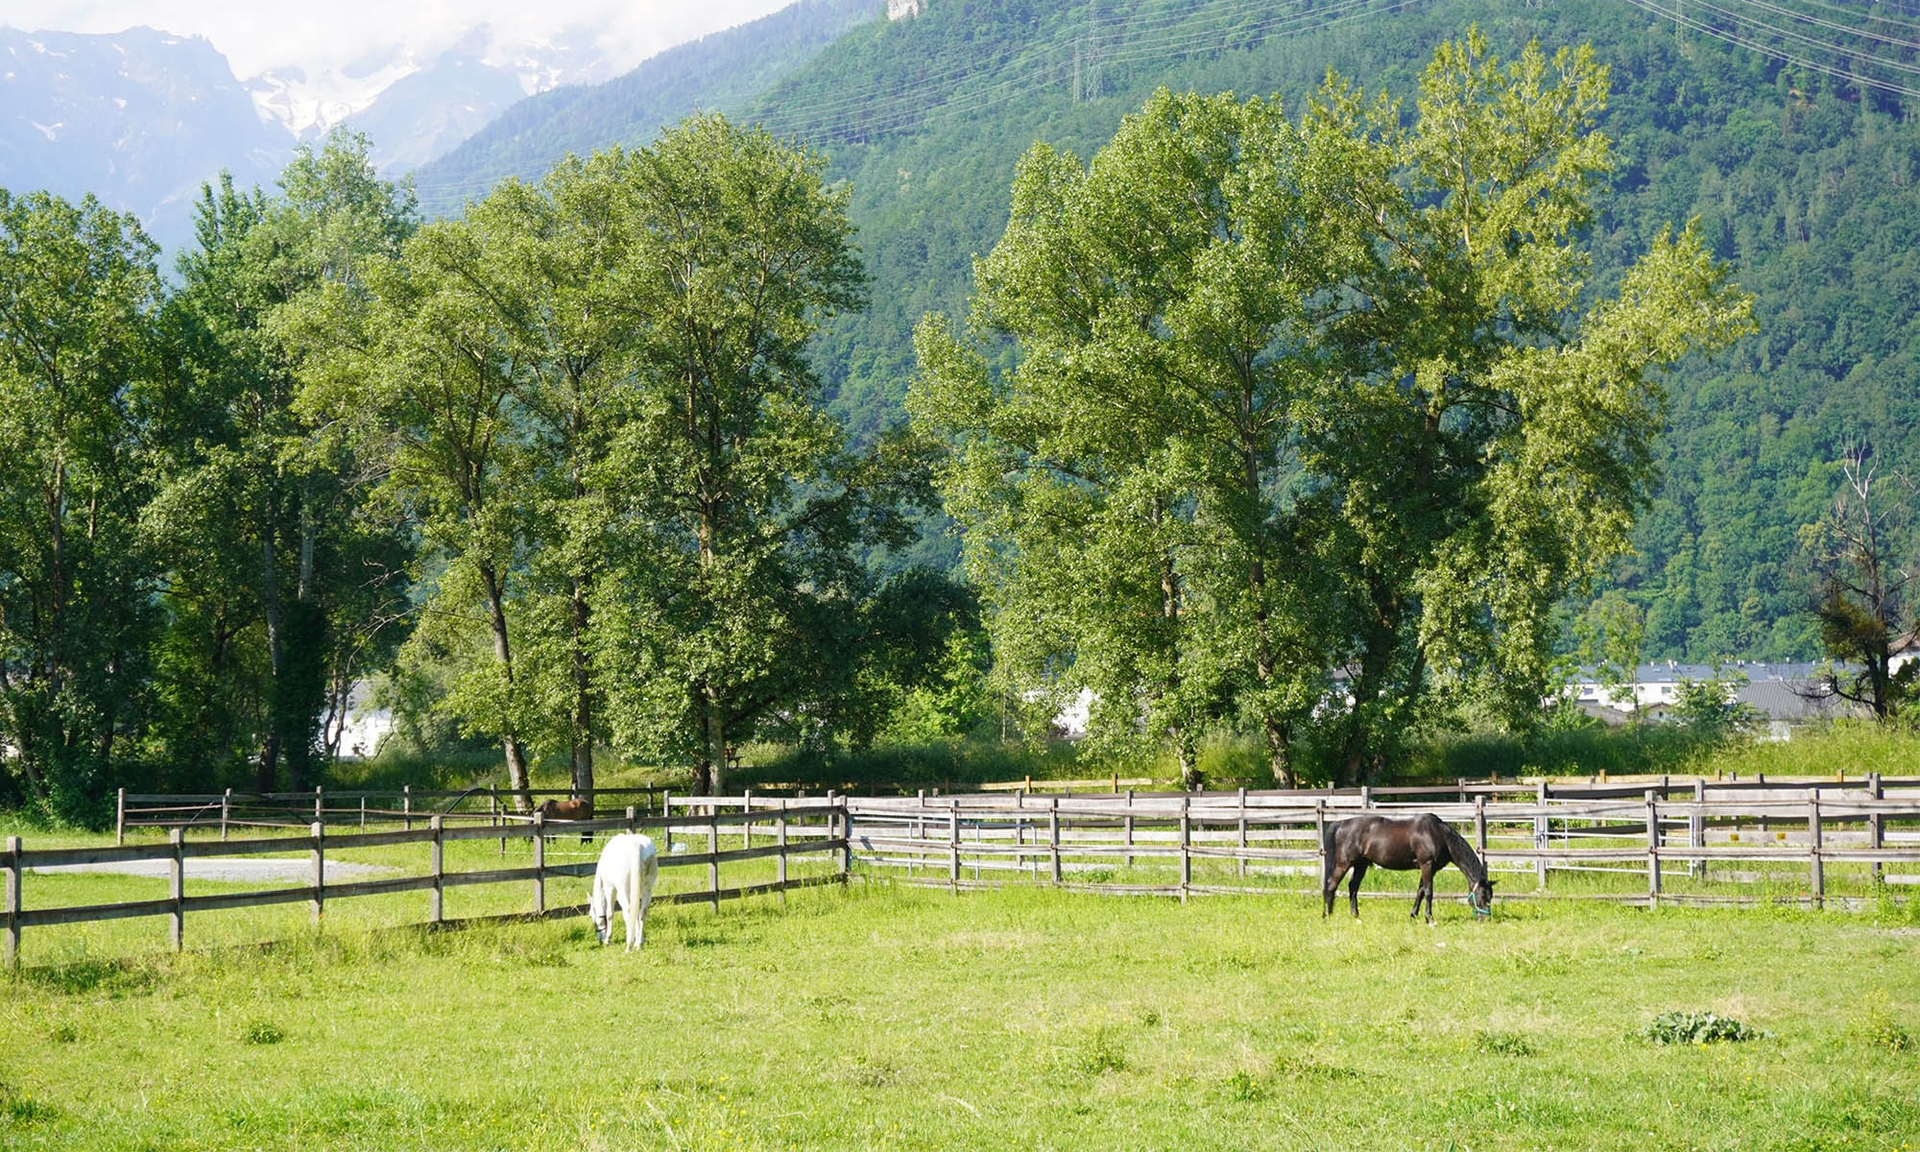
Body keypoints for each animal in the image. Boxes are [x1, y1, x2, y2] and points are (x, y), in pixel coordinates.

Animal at [1321, 813, 1495, 922]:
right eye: (1482, 895)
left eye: (1490, 896)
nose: (1485, 919)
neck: (1438, 835)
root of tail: (1341, 824)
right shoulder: (1426, 865)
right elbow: (1429, 892)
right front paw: (1429, 919)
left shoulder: (1429, 868)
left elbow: (1420, 891)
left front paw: (1413, 915)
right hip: (1344, 863)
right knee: (1331, 885)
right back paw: (1327, 916)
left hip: (1361, 865)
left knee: (1353, 887)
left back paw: (1355, 916)